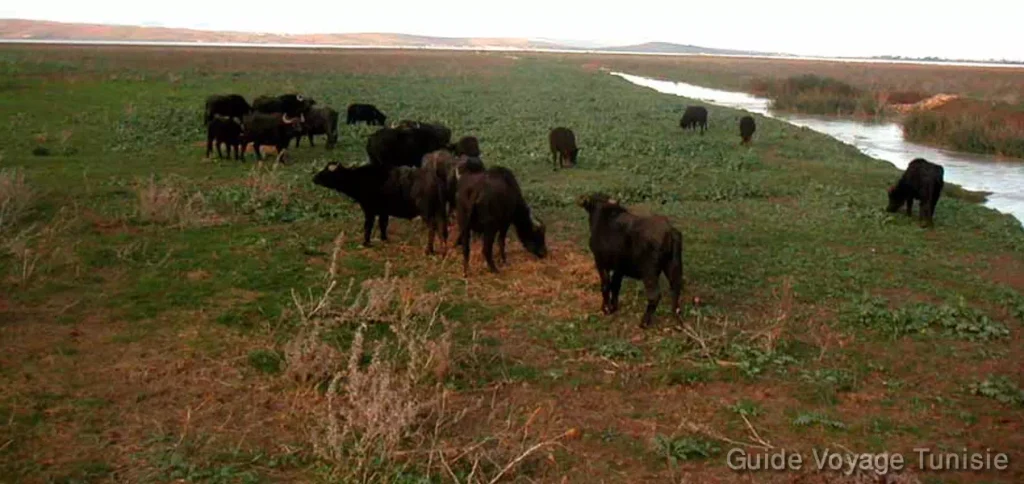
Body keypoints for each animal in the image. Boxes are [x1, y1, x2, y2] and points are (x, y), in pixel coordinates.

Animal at [581, 192, 684, 327]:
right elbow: (615, 286)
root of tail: (670, 231)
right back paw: (676, 317)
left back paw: (644, 322)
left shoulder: (600, 262)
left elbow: (605, 285)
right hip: (673, 265)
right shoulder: (619, 268)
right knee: (676, 288)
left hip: (649, 273)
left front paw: (606, 309)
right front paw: (614, 307)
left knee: (654, 296)